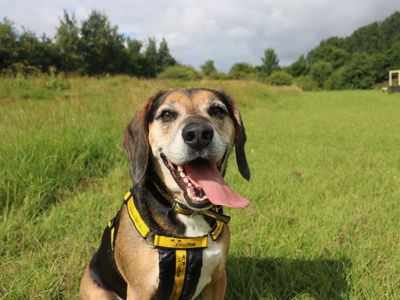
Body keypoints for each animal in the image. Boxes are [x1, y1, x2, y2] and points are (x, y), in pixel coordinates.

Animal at [79, 88, 250, 298]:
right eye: (167, 115)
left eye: (217, 110)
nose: (199, 134)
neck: (187, 212)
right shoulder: (140, 290)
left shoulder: (218, 279)